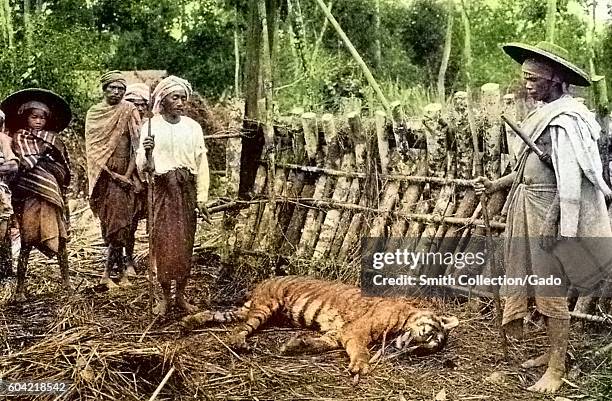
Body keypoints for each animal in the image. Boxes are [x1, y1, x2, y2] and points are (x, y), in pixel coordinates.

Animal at [182, 274, 460, 374]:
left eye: (430, 347)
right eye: (431, 333)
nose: (421, 343)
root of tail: (264, 282)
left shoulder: (337, 333)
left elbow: (320, 344)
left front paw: (295, 346)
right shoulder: (354, 331)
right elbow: (361, 351)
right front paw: (361, 366)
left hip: (253, 309)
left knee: (220, 315)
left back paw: (189, 321)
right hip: (265, 307)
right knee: (239, 328)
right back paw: (238, 341)